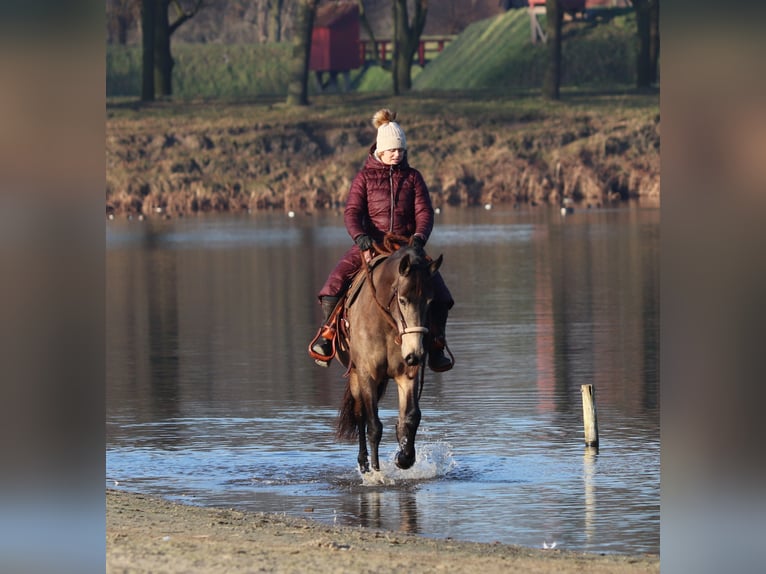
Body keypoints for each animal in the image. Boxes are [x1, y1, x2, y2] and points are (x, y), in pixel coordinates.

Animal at [334, 245, 444, 474]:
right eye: (402, 300)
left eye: (431, 302)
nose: (415, 353)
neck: (385, 324)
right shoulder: (367, 375)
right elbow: (374, 425)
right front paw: (376, 472)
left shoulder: (407, 374)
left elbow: (411, 416)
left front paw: (404, 457)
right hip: (355, 375)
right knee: (360, 413)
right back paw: (364, 464)